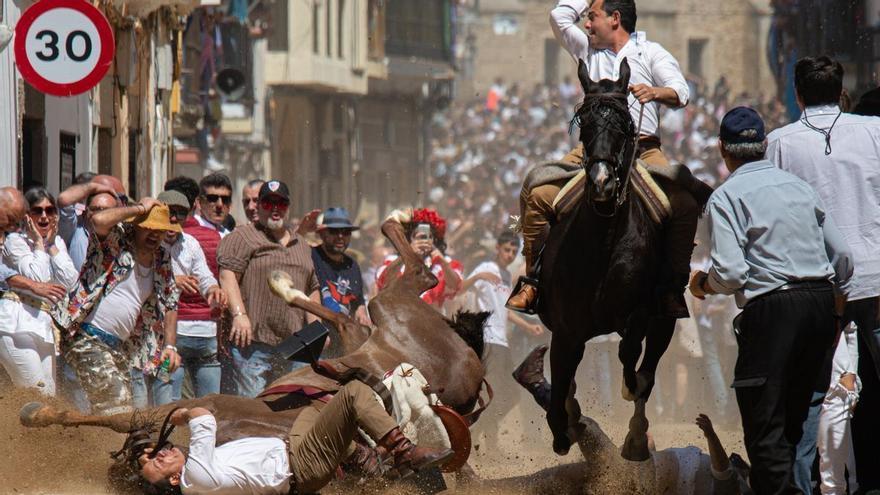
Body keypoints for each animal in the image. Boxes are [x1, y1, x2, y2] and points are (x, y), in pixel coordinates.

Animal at [18, 212, 488, 492]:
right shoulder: (194, 406)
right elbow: (114, 418)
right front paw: (37, 413)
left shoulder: (203, 402)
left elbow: (122, 418)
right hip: (370, 330)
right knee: (351, 314)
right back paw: (288, 283)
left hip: (392, 310)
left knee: (420, 274)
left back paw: (394, 222)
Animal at [540, 60, 676, 464]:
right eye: (583, 124)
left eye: (626, 124)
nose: (601, 183)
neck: (602, 243)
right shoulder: (566, 328)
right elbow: (561, 379)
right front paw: (564, 428)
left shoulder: (639, 314)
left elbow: (631, 358)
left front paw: (631, 391)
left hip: (665, 319)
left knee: (649, 366)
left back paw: (636, 436)